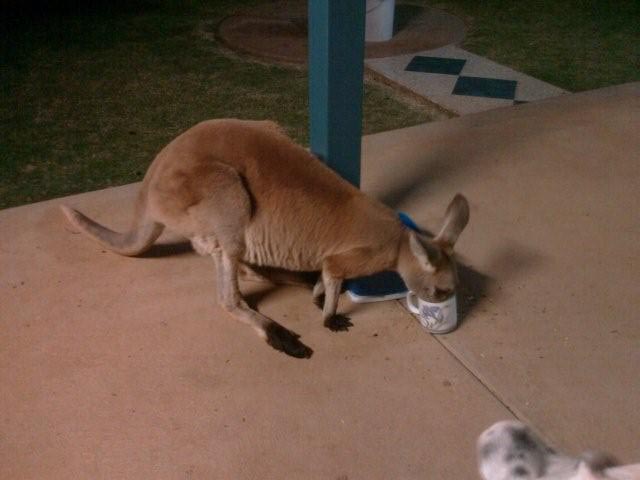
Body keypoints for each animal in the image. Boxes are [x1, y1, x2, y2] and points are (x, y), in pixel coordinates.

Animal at [61, 119, 469, 357]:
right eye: (440, 291)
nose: (444, 304)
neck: (400, 240)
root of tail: (149, 185)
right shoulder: (348, 257)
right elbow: (333, 277)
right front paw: (329, 316)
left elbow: (325, 278)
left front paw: (316, 296)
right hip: (223, 193)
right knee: (228, 291)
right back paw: (280, 335)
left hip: (266, 137)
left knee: (233, 262)